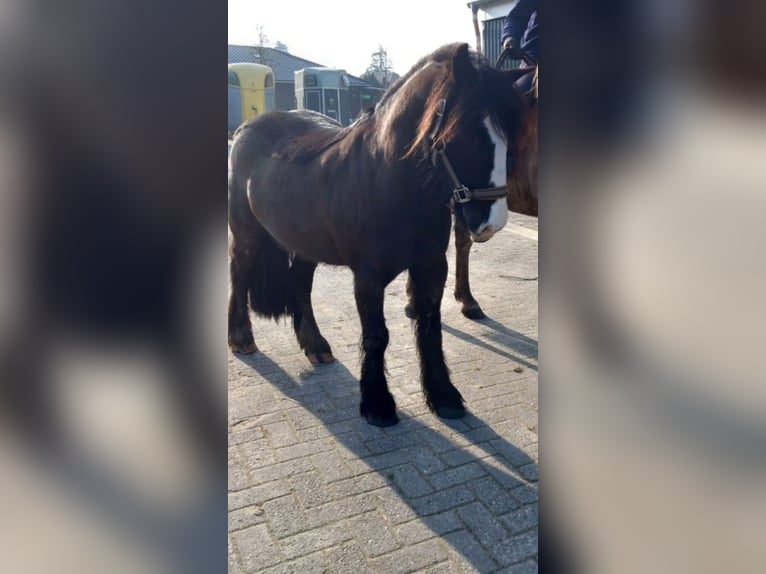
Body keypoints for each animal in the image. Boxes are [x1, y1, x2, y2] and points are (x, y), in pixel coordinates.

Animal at [228, 43, 529, 426]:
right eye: (465, 135)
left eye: (509, 139)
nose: (492, 222)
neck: (388, 179)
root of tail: (246, 128)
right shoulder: (368, 276)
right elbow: (377, 335)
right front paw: (378, 405)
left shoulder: (432, 267)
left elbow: (430, 328)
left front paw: (443, 397)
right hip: (246, 233)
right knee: (239, 276)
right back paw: (241, 338)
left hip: (305, 242)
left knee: (300, 286)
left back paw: (316, 346)